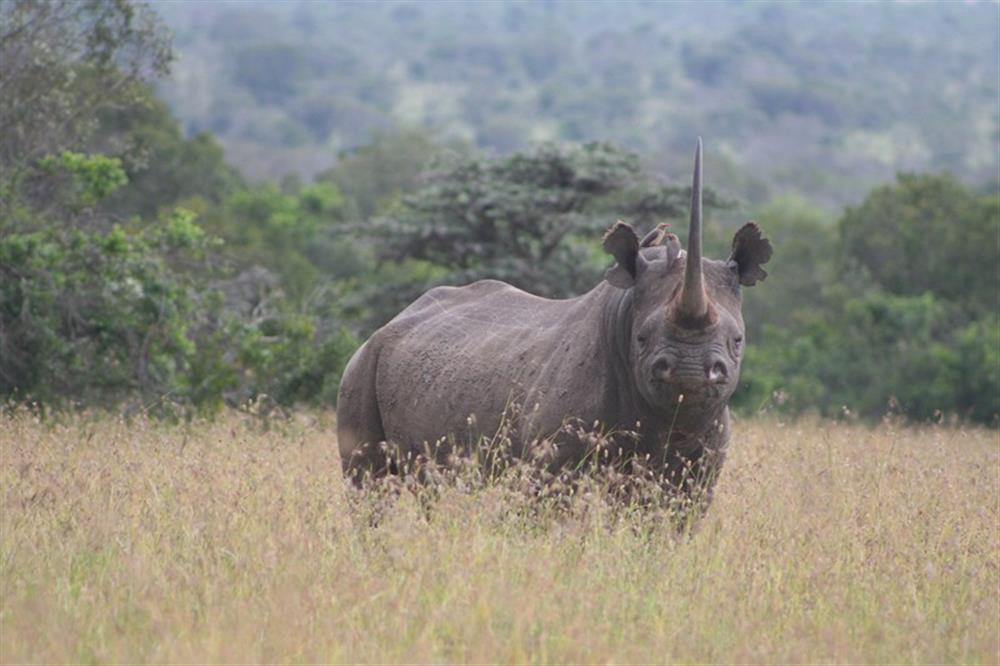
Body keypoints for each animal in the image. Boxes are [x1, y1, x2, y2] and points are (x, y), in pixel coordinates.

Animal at [336, 139, 772, 504]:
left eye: (737, 340)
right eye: (642, 338)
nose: (690, 373)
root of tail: (391, 322)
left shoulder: (700, 472)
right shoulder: (550, 465)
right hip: (362, 364)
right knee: (370, 487)